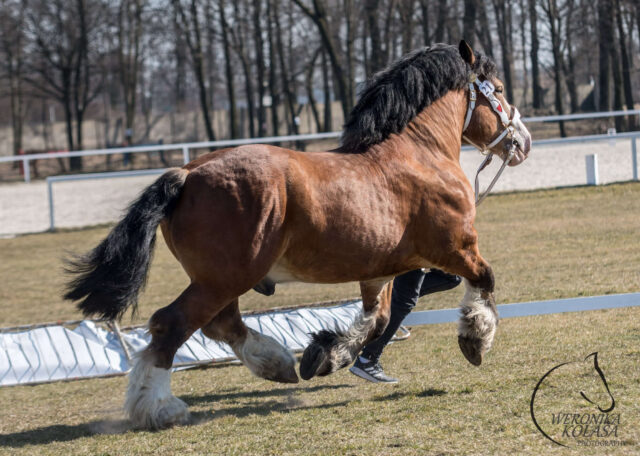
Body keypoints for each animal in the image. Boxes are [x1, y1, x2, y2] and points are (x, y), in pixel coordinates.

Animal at [65, 41, 532, 430]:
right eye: (499, 89)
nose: (523, 142)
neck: (419, 154)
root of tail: (187, 174)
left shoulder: (378, 272)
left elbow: (376, 320)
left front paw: (325, 354)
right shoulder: (457, 248)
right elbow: (484, 281)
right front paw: (475, 340)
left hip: (220, 280)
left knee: (222, 323)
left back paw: (277, 364)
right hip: (225, 278)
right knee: (172, 324)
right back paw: (161, 408)